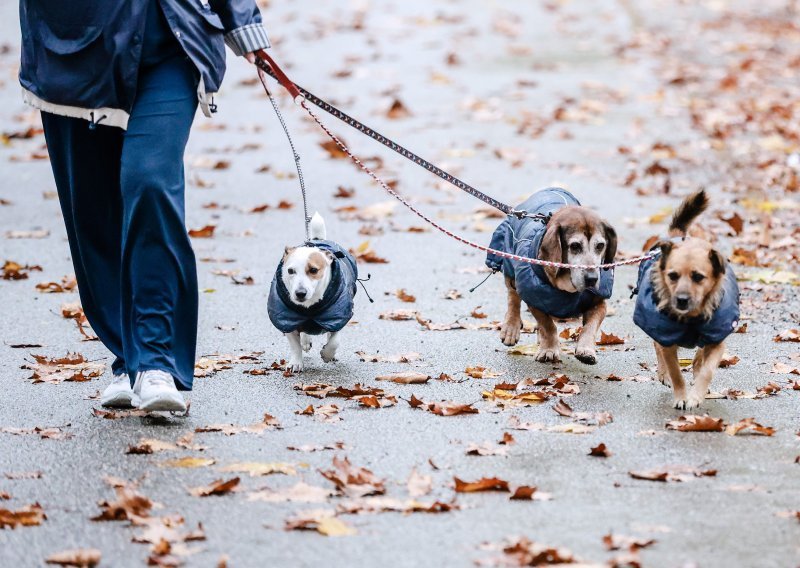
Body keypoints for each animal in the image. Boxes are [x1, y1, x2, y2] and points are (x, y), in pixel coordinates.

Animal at [636, 191, 740, 408]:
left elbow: (707, 370)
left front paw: (695, 395)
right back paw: (664, 374)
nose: (681, 299)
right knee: (658, 348)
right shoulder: (667, 338)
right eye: (672, 276)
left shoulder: (717, 341)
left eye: (698, 277)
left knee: (699, 356)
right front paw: (681, 396)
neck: (691, 318)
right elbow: (675, 371)